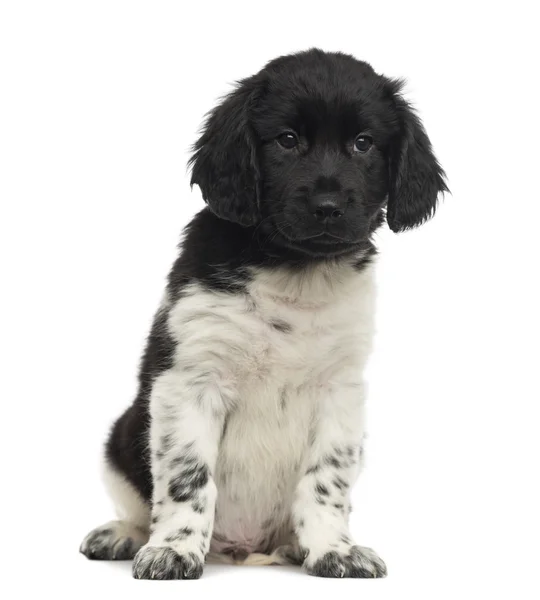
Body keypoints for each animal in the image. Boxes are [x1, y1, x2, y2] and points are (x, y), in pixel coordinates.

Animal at [78, 49, 446, 580]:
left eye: (363, 143)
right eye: (287, 140)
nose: (328, 205)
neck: (294, 272)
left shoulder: (340, 391)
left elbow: (327, 478)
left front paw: (333, 548)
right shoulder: (191, 382)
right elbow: (188, 477)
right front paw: (174, 550)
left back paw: (295, 546)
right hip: (122, 435)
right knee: (137, 504)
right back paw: (124, 534)